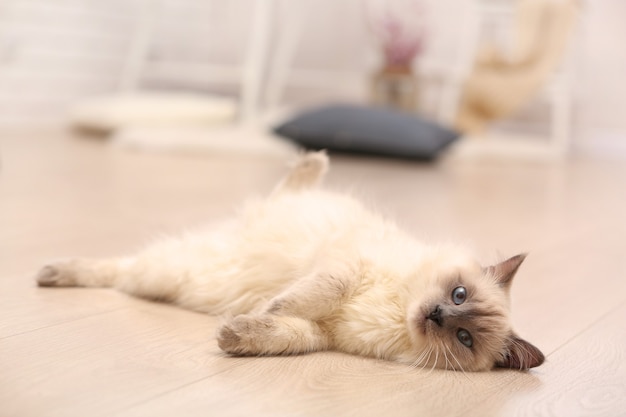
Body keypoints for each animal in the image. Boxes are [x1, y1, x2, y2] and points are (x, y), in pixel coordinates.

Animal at [35, 152, 540, 370]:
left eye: (463, 337)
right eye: (458, 294)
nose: (435, 314)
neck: (397, 312)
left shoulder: (322, 334)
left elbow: (284, 332)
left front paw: (235, 335)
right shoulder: (344, 266)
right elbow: (301, 299)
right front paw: (264, 310)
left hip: (163, 275)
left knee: (120, 274)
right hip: (163, 272)